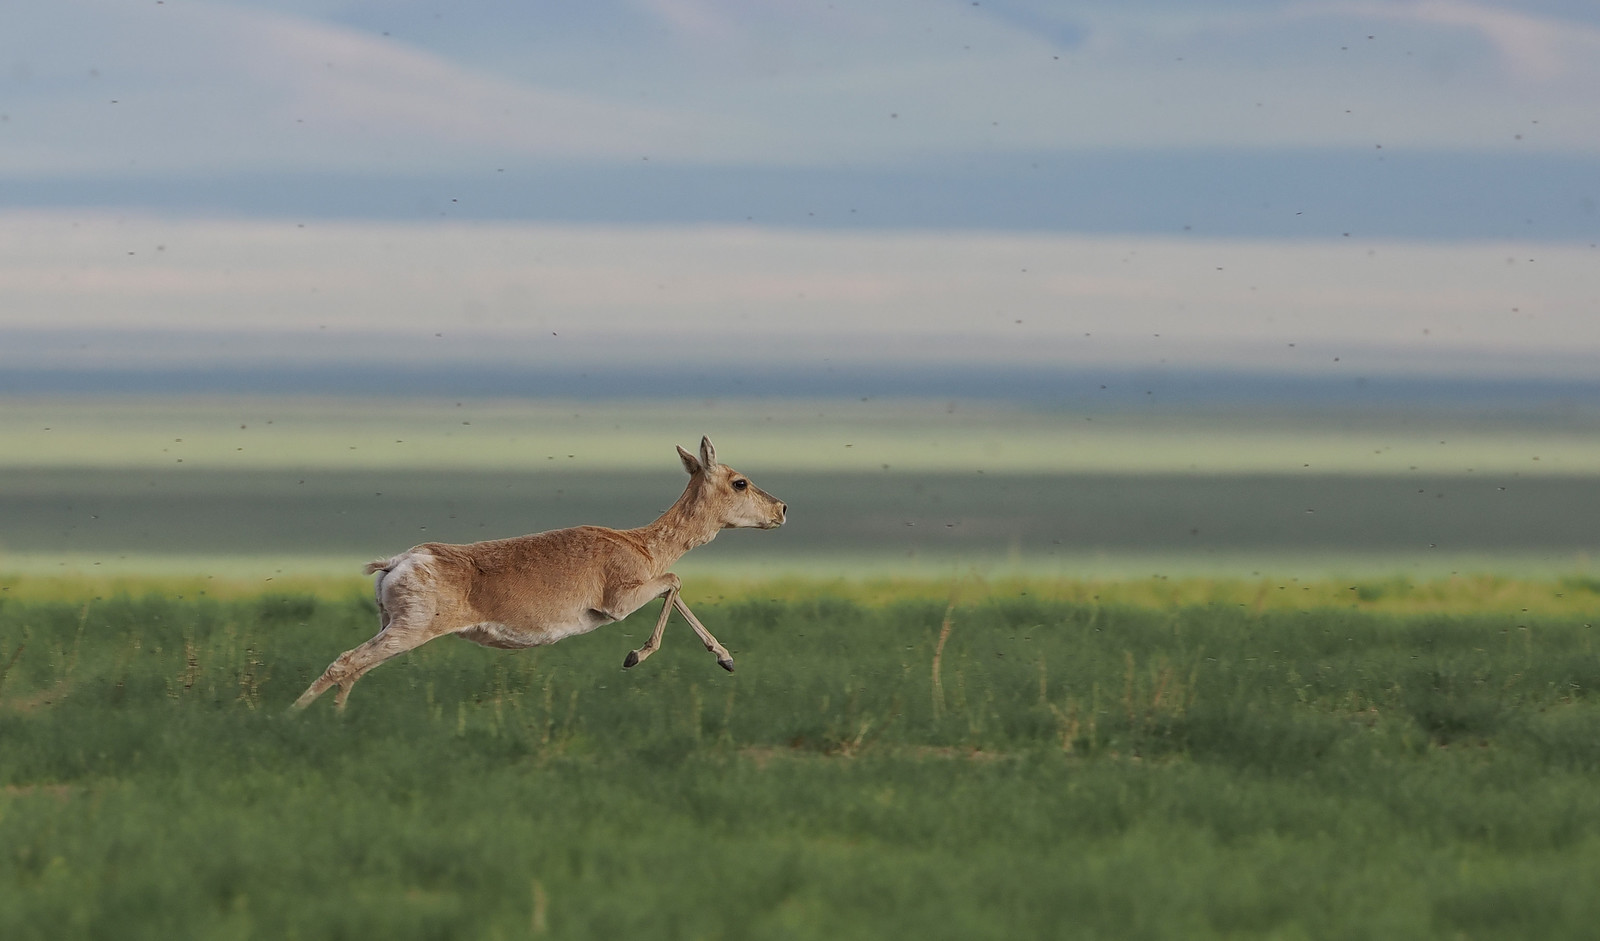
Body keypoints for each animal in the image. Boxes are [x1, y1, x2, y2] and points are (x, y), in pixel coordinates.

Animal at [290, 437, 786, 712]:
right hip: (409, 630)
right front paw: (636, 656)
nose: (782, 509)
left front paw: (726, 658)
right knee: (345, 663)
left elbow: (676, 586)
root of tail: (397, 562)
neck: (642, 545)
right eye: (739, 481)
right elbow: (676, 581)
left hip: (391, 626)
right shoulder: (619, 602)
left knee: (353, 670)